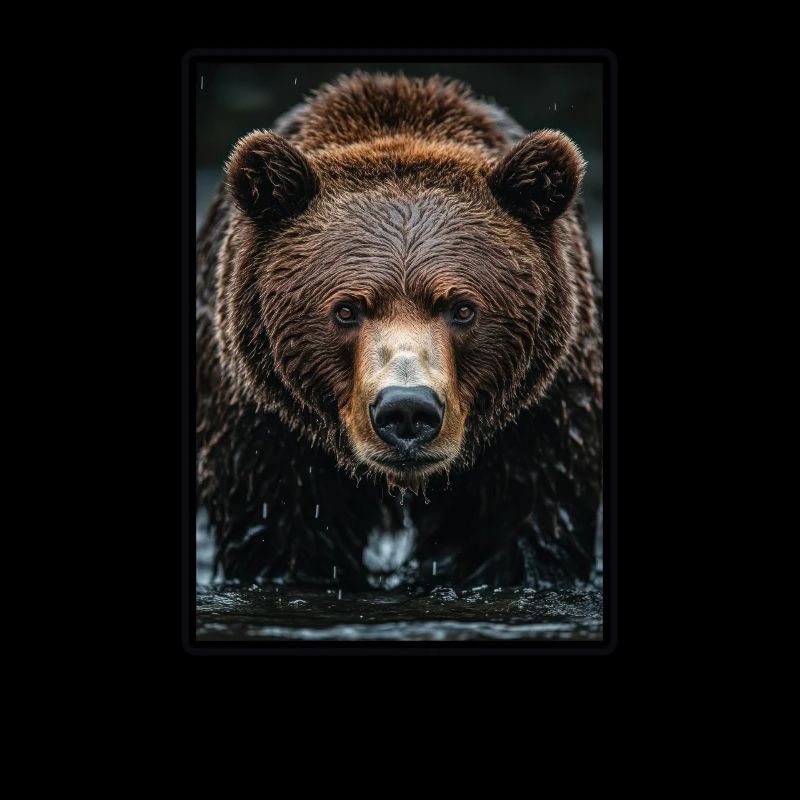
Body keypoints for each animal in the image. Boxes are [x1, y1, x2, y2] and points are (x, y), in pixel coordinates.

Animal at [196, 71, 602, 590]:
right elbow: (279, 536)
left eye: (463, 308)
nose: (407, 409)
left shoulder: (541, 422)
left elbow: (529, 532)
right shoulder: (265, 430)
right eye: (346, 310)